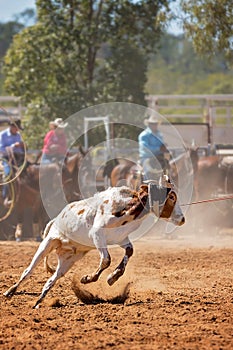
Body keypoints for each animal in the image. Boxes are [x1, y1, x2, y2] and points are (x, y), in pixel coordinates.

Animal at [3, 176, 185, 308]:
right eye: (171, 197)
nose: (182, 219)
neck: (127, 208)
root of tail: (56, 219)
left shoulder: (121, 239)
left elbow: (129, 251)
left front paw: (113, 277)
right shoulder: (97, 235)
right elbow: (106, 259)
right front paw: (87, 279)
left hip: (68, 260)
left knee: (51, 280)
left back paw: (38, 302)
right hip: (48, 242)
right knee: (28, 270)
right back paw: (10, 292)